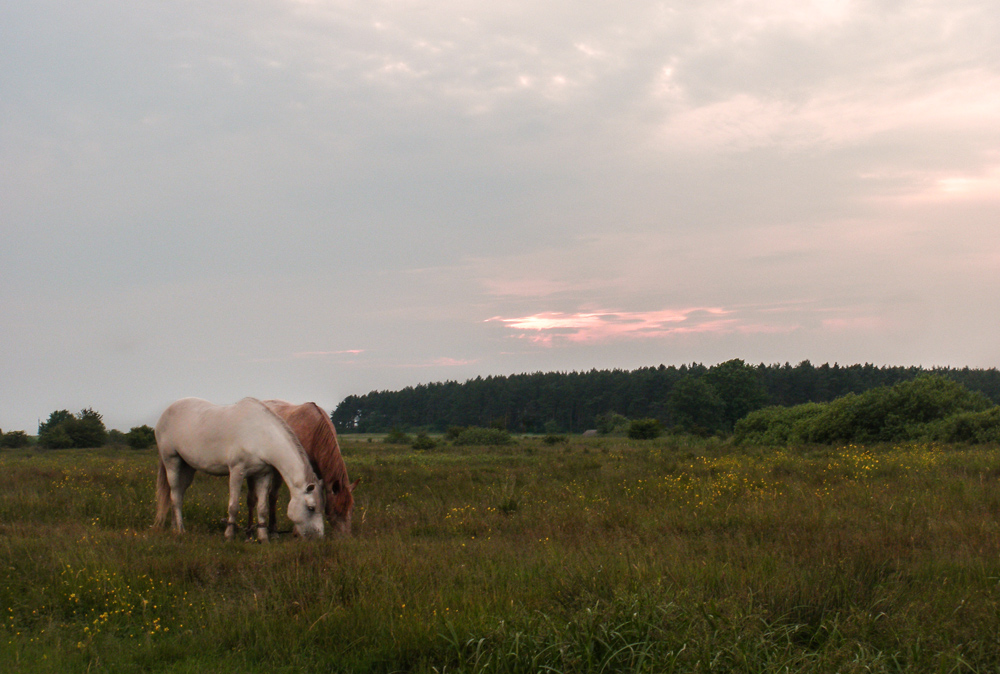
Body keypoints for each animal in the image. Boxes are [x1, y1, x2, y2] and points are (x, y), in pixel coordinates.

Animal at [153, 396, 324, 540]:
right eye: (311, 508)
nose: (318, 538)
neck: (260, 436)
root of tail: (165, 413)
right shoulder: (237, 471)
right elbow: (233, 506)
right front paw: (229, 535)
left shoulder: (263, 474)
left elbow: (262, 507)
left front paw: (263, 538)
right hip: (172, 461)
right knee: (175, 495)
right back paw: (181, 530)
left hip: (187, 468)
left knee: (178, 495)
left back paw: (174, 527)